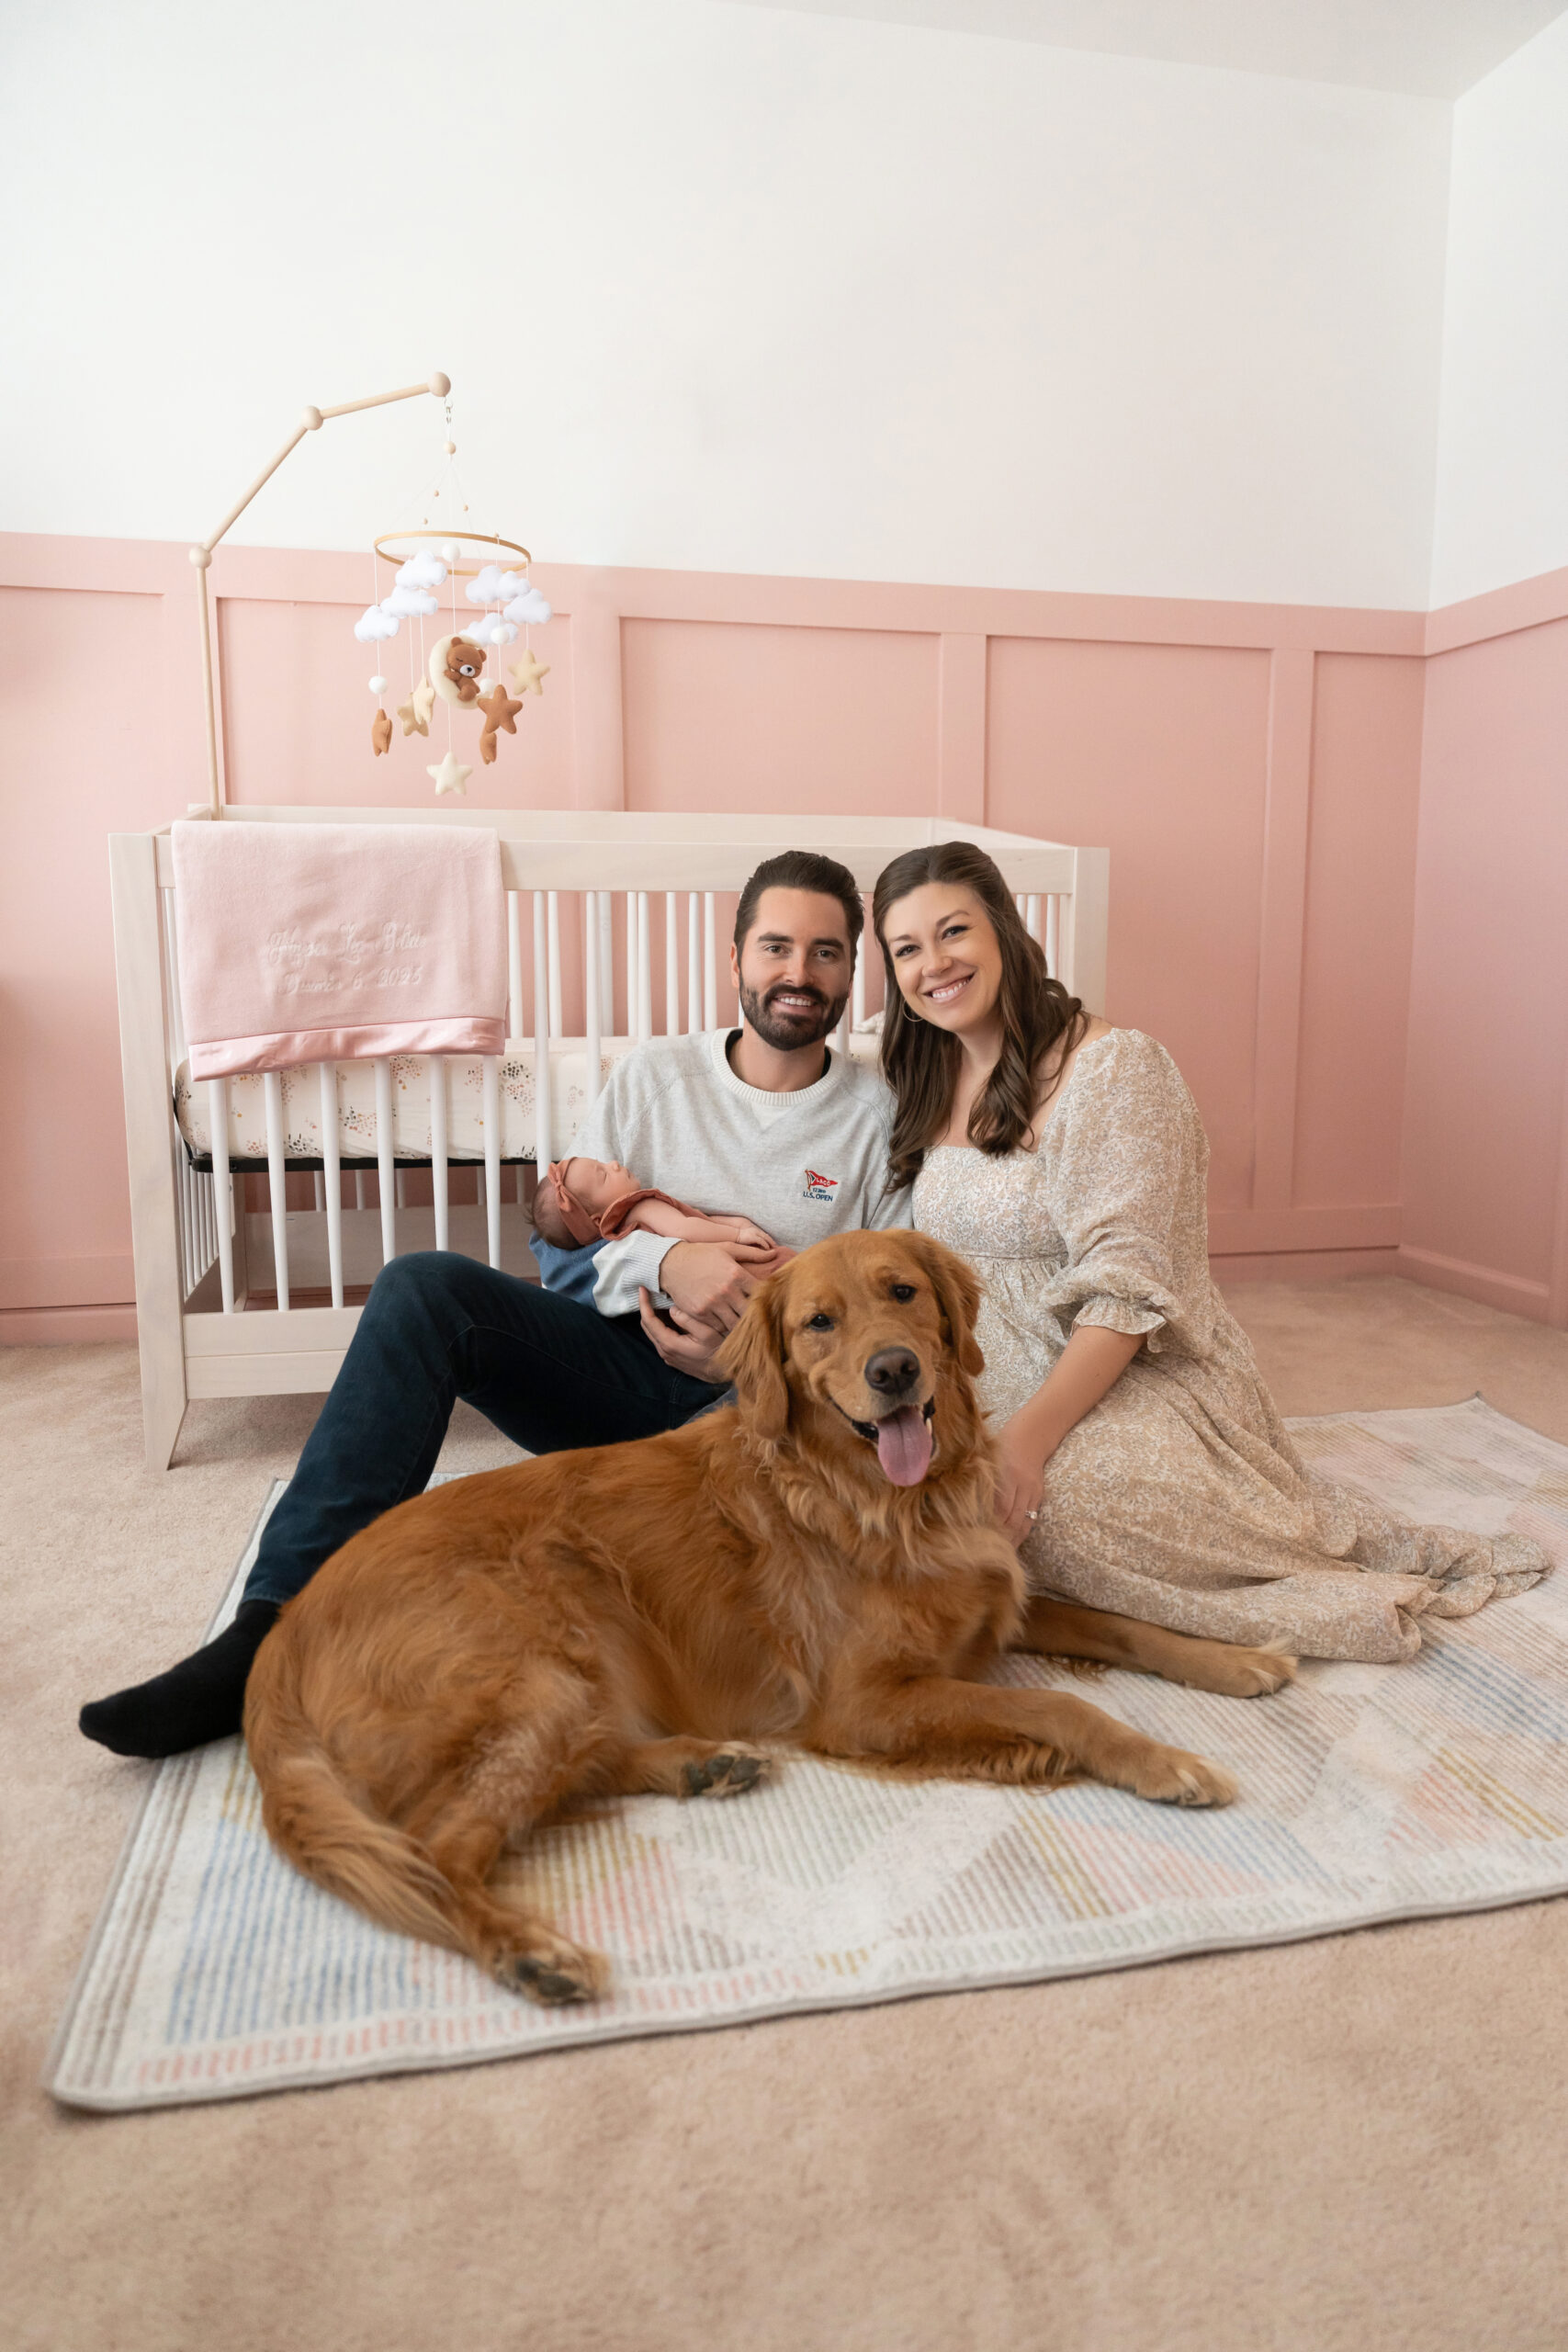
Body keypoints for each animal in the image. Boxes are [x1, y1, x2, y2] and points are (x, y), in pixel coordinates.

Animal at [245, 1232, 1297, 2004]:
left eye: (903, 1291)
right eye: (818, 1322)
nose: (894, 1370)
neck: (888, 1498)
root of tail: (282, 1636)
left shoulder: (995, 1606)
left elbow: (1119, 1625)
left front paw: (1238, 1660)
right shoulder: (862, 1702)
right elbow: (1059, 1707)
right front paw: (1162, 1761)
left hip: (580, 1677)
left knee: (577, 1769)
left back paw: (701, 1763)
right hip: (543, 1663)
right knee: (438, 1850)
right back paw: (528, 1950)